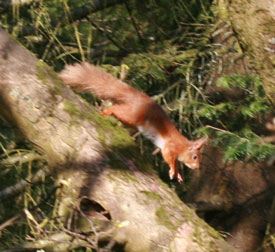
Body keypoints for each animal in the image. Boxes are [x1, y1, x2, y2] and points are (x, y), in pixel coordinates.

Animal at [59, 62, 207, 182]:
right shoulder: (170, 146)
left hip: (132, 122)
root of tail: (136, 98)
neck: (183, 145)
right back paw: (106, 112)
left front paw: (179, 175)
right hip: (131, 115)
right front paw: (174, 169)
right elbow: (169, 158)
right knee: (116, 108)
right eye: (195, 157)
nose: (197, 167)